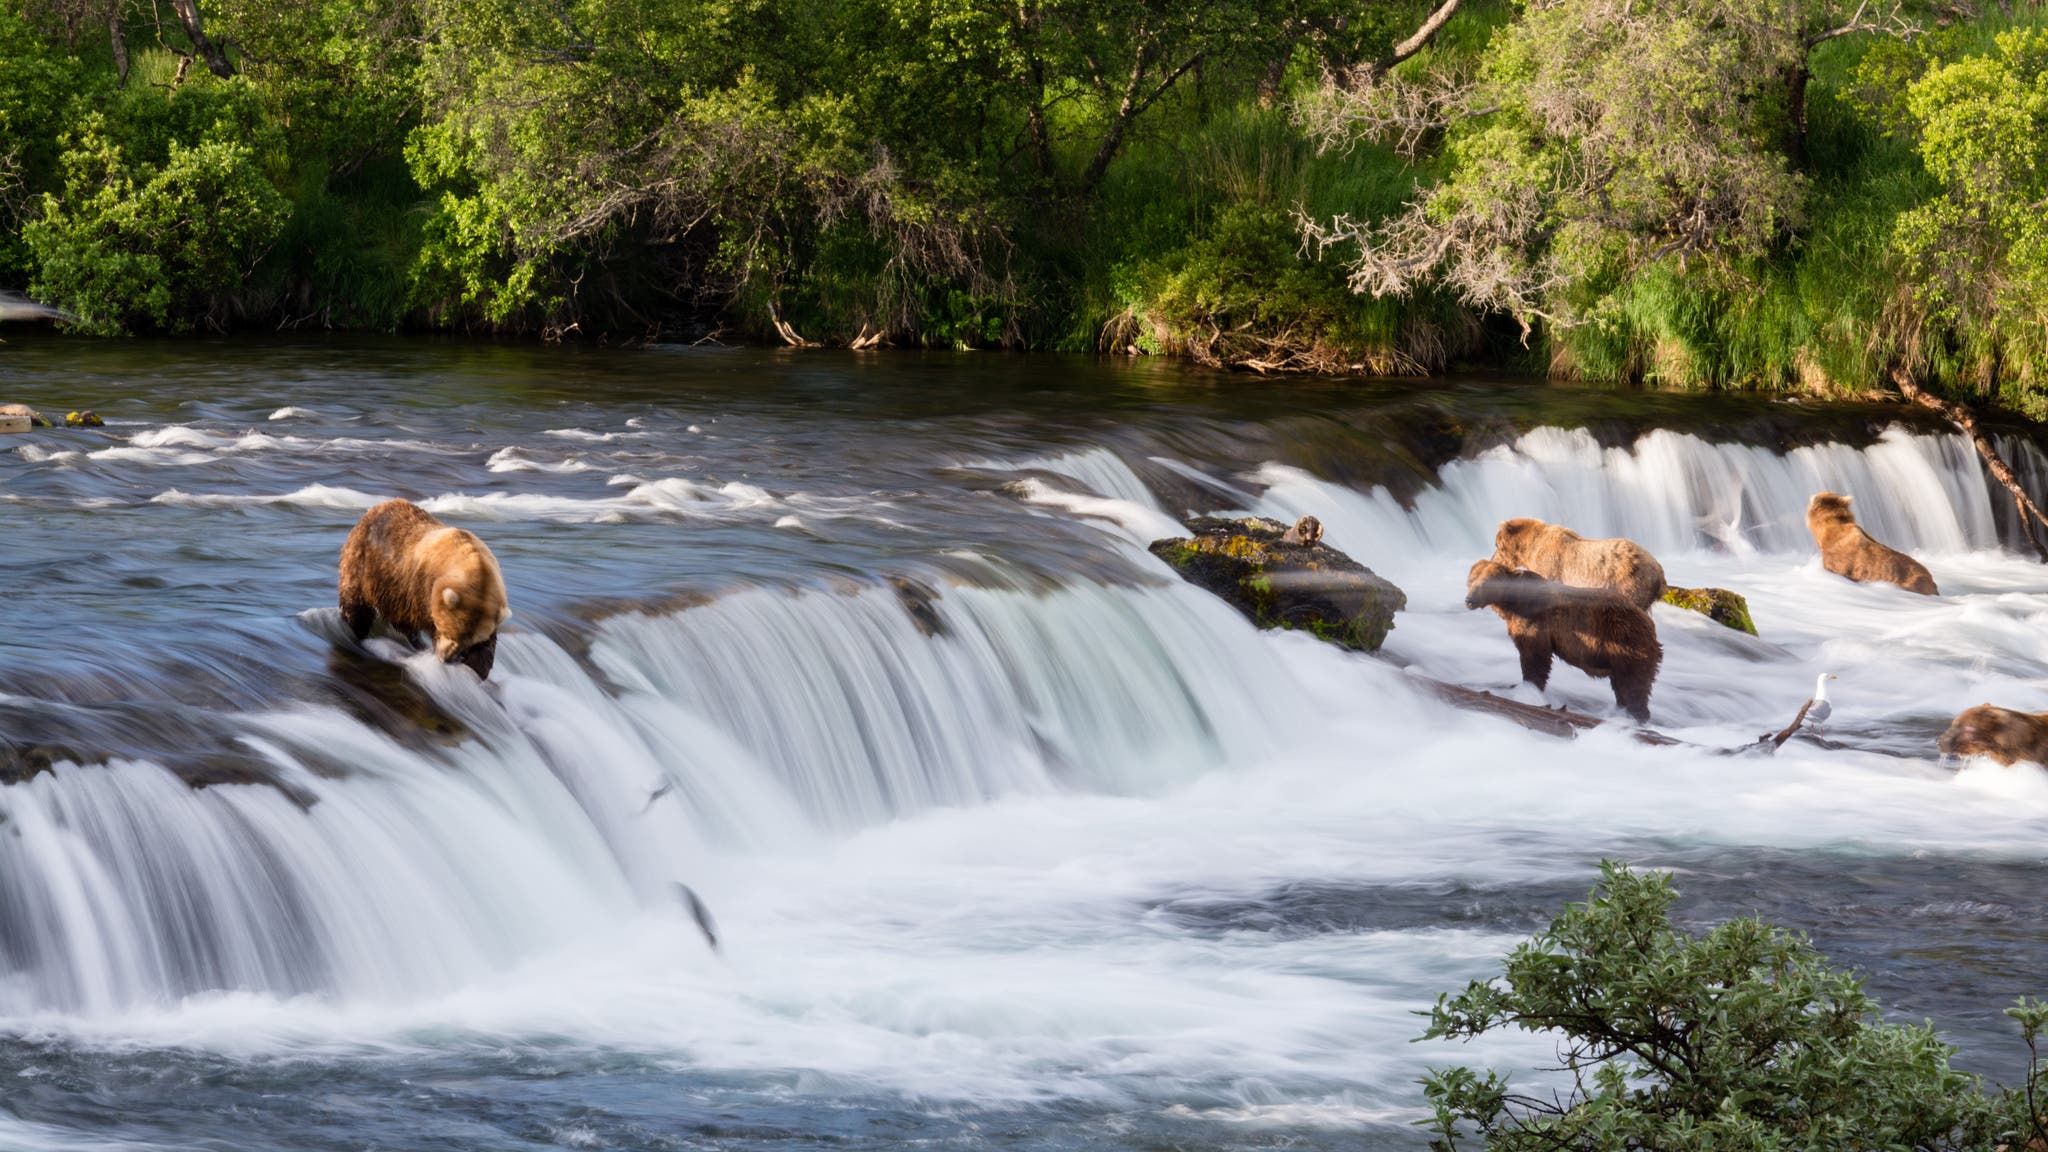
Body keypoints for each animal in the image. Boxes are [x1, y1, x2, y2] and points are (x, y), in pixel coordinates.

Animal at [339, 498, 511, 679]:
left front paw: (478, 666)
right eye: (450, 632)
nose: (447, 658)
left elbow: (488, 644)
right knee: (358, 605)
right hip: (365, 563)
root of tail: (375, 508)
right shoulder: (420, 588)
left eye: (469, 641)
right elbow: (415, 620)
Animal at [1464, 558, 1662, 723]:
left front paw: (1527, 689)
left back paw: (1636, 716)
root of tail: (1649, 624)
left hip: (1626, 644)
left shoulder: (1535, 622)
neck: (1513, 603)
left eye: (1485, 583)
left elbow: (1535, 658)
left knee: (1634, 685)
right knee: (1623, 686)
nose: (1469, 600)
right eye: (1471, 580)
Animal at [1491, 518, 1668, 610]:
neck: (1531, 549)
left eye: (1496, 544)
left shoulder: (1550, 566)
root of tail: (1659, 571)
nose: (1492, 559)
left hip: (1630, 581)